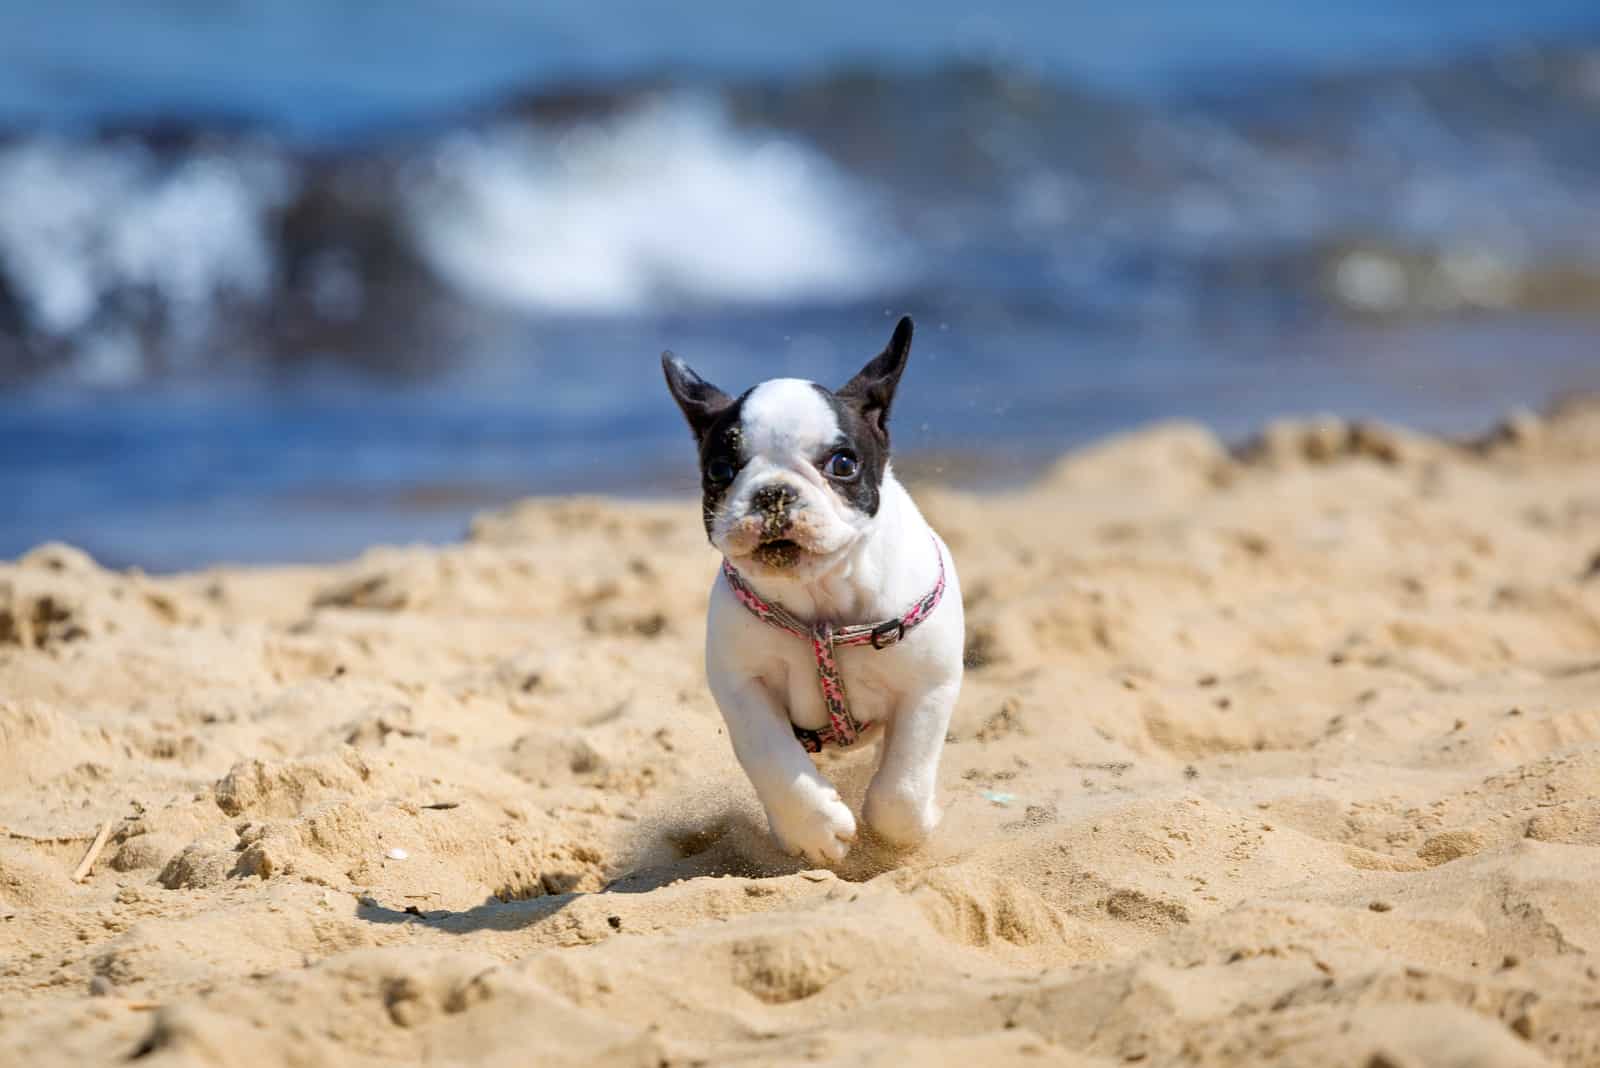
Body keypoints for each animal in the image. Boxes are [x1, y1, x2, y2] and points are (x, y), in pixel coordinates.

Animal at [662, 313, 960, 863]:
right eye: (720, 470)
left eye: (842, 464)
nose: (773, 492)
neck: (822, 601)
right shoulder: (742, 687)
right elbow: (773, 759)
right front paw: (813, 830)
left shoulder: (929, 686)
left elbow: (903, 786)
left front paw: (911, 825)